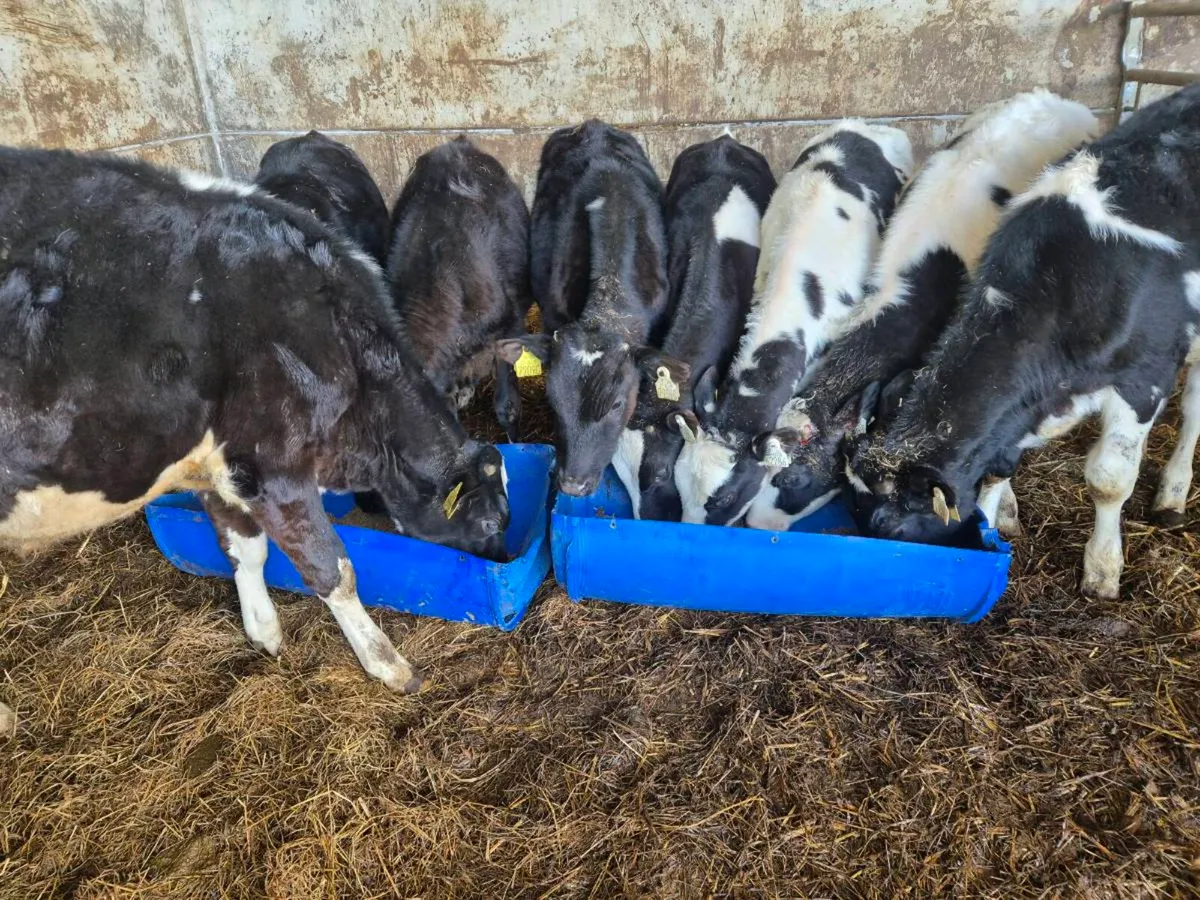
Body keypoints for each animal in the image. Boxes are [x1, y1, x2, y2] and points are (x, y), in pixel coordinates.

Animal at [0, 148, 513, 691]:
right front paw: (388, 665)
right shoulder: (275, 469)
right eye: (490, 519)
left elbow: (244, 549)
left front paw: (263, 631)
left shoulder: (218, 469)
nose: (507, 558)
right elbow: (332, 570)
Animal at [845, 82, 1200, 600]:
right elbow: (996, 469)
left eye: (893, 527)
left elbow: (1109, 480)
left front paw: (1102, 570)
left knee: (1193, 411)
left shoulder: (1144, 378)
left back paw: (1172, 492)